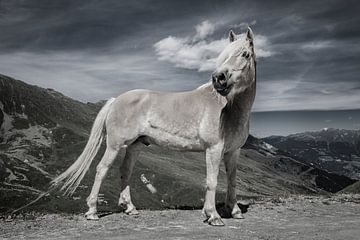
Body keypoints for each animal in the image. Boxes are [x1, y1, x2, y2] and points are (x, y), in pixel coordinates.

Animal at [52, 27, 258, 226]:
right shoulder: (214, 149)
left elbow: (231, 180)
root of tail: (115, 100)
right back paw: (92, 211)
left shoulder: (233, 151)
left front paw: (235, 211)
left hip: (135, 146)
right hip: (115, 145)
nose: (218, 79)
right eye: (224, 55)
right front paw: (213, 215)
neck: (228, 108)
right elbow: (212, 181)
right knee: (102, 169)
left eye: (245, 54)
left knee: (125, 170)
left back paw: (130, 208)